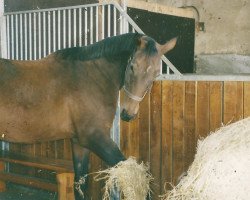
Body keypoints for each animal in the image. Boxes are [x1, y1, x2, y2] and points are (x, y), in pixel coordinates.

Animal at [0, 32, 177, 198]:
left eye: (156, 73)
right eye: (133, 66)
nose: (128, 114)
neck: (92, 78)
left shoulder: (79, 142)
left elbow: (80, 182)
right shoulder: (94, 137)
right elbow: (129, 171)